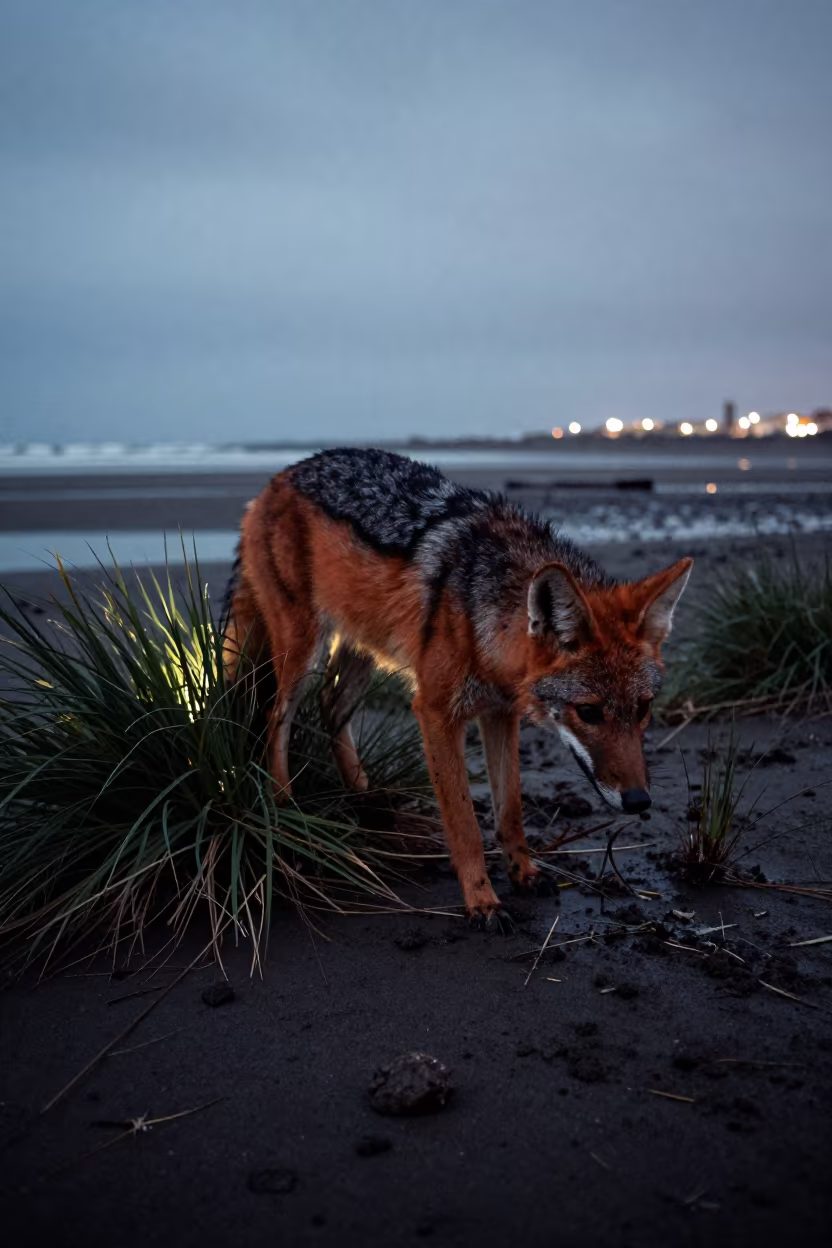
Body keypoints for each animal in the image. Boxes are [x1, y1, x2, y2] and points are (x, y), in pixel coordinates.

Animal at [223, 448, 692, 927]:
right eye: (590, 712)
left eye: (643, 708)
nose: (639, 801)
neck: (488, 621)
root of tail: (281, 476)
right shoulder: (435, 712)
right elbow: (465, 823)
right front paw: (482, 901)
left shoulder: (500, 713)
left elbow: (511, 809)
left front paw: (523, 872)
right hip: (305, 652)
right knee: (275, 719)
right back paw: (285, 811)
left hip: (360, 650)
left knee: (331, 706)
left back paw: (366, 800)